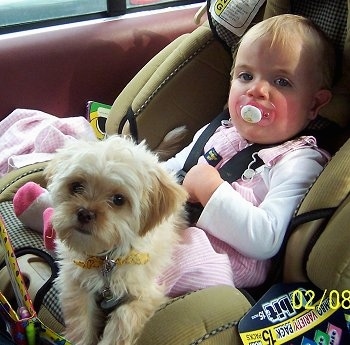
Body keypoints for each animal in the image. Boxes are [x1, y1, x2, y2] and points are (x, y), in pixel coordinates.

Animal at [45, 134, 190, 344]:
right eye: (76, 186)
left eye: (119, 200)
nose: (85, 213)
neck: (106, 258)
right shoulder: (75, 282)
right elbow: (81, 320)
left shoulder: (147, 294)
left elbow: (124, 318)